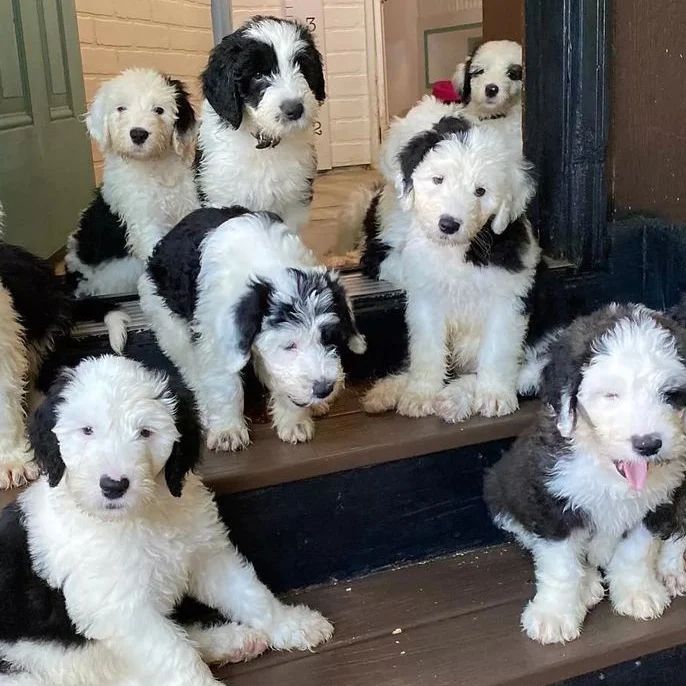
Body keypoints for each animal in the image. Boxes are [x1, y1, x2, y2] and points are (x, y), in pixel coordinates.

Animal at [0, 358, 334, 686]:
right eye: (87, 430)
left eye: (145, 432)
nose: (113, 486)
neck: (140, 515)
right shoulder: (125, 611)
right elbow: (175, 656)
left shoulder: (208, 554)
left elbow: (250, 593)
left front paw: (292, 623)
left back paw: (236, 641)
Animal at [65, 67, 202, 298]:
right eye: (121, 108)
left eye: (159, 110)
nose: (138, 134)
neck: (153, 168)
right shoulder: (143, 220)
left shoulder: (186, 206)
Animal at [137, 207, 368, 452]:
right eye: (289, 345)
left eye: (328, 339)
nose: (324, 389)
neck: (270, 266)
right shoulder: (217, 341)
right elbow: (226, 386)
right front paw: (228, 431)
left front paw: (294, 421)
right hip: (168, 323)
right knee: (193, 371)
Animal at [199, 15, 328, 231]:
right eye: (258, 75)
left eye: (301, 68)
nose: (295, 109)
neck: (264, 143)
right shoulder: (222, 194)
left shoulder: (293, 202)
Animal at [486, 306, 686, 644]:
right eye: (611, 395)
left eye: (670, 394)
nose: (648, 444)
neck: (609, 470)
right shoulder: (553, 501)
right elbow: (560, 565)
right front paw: (554, 616)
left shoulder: (657, 503)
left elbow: (637, 551)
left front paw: (637, 593)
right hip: (505, 493)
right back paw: (589, 583)